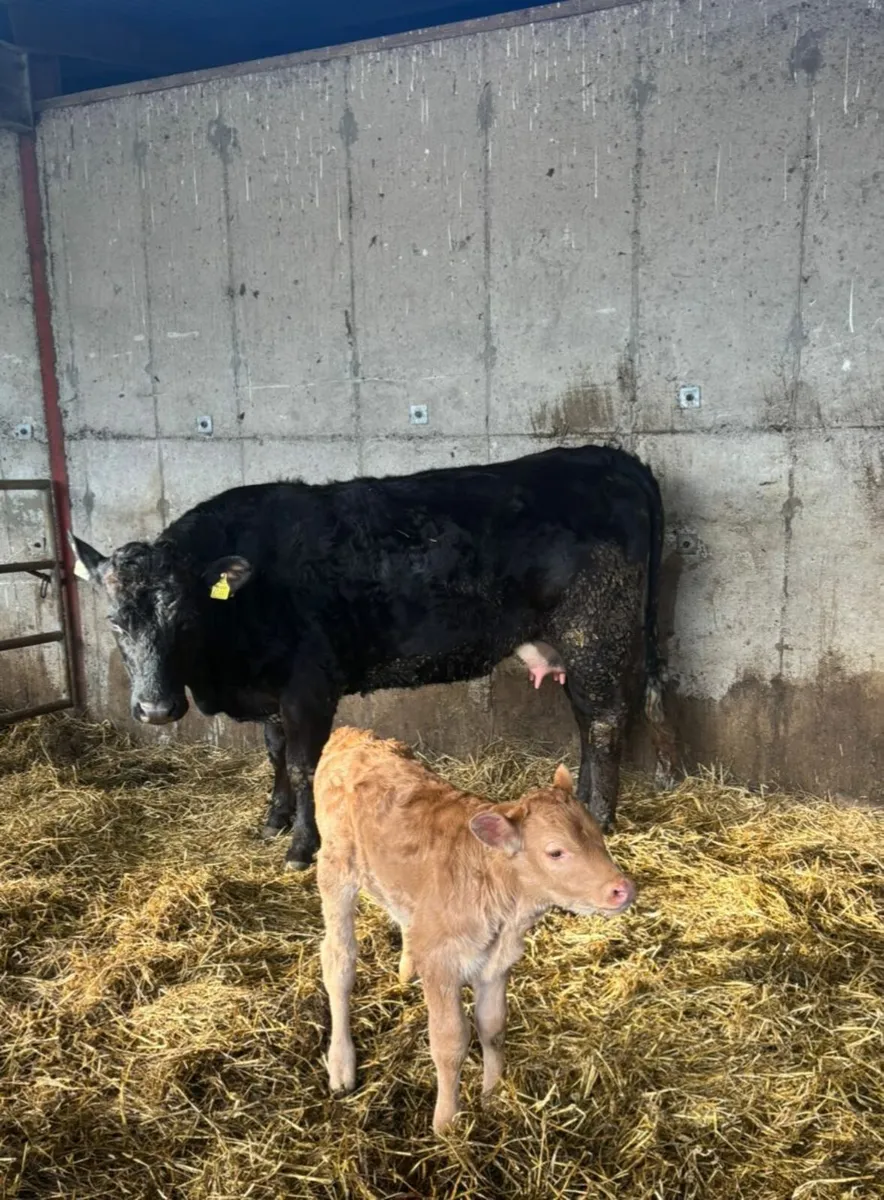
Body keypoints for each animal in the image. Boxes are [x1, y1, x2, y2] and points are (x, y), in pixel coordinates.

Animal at [70, 443, 675, 870]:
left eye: (187, 620)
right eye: (114, 620)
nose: (155, 710)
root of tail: (611, 457)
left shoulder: (309, 685)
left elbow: (303, 763)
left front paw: (301, 847)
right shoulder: (270, 691)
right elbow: (274, 754)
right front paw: (273, 819)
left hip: (596, 633)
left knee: (604, 721)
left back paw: (600, 818)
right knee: (594, 720)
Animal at [314, 726, 635, 1133]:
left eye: (597, 834)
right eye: (556, 852)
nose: (623, 889)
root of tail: (354, 735)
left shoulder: (496, 963)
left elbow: (492, 1026)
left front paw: (492, 1096)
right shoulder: (442, 965)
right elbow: (451, 1041)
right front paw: (447, 1123)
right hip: (335, 871)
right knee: (338, 962)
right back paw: (341, 1065)